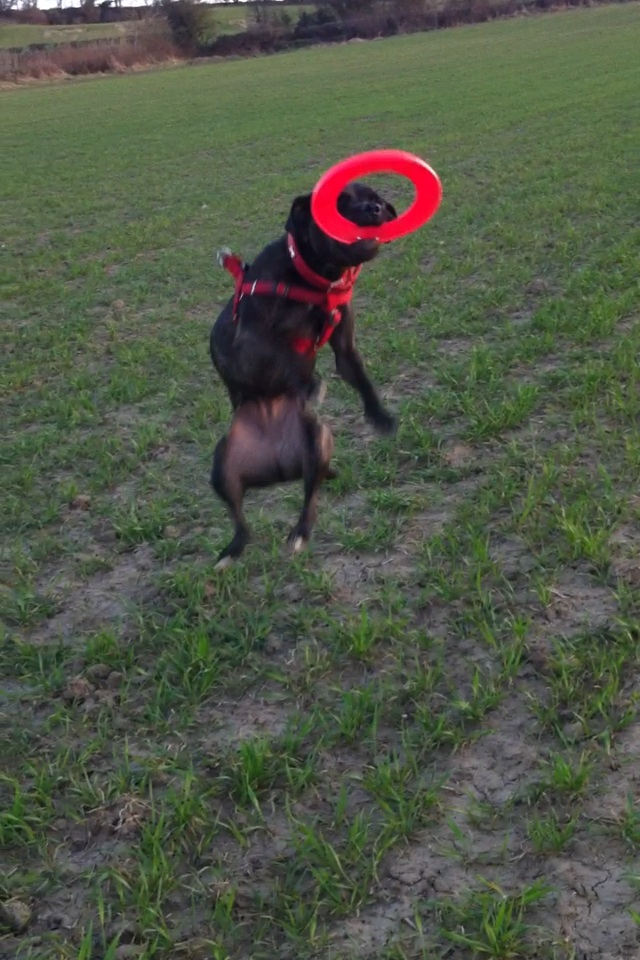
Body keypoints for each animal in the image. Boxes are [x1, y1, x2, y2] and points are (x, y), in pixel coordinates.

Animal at [210, 181, 400, 436]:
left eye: (376, 199)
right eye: (337, 203)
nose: (373, 208)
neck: (314, 278)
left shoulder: (345, 348)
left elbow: (361, 378)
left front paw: (379, 415)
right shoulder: (253, 342)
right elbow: (283, 358)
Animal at [214, 394, 338, 568]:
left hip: (315, 442)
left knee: (310, 499)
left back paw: (300, 533)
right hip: (226, 464)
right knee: (240, 523)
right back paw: (232, 550)